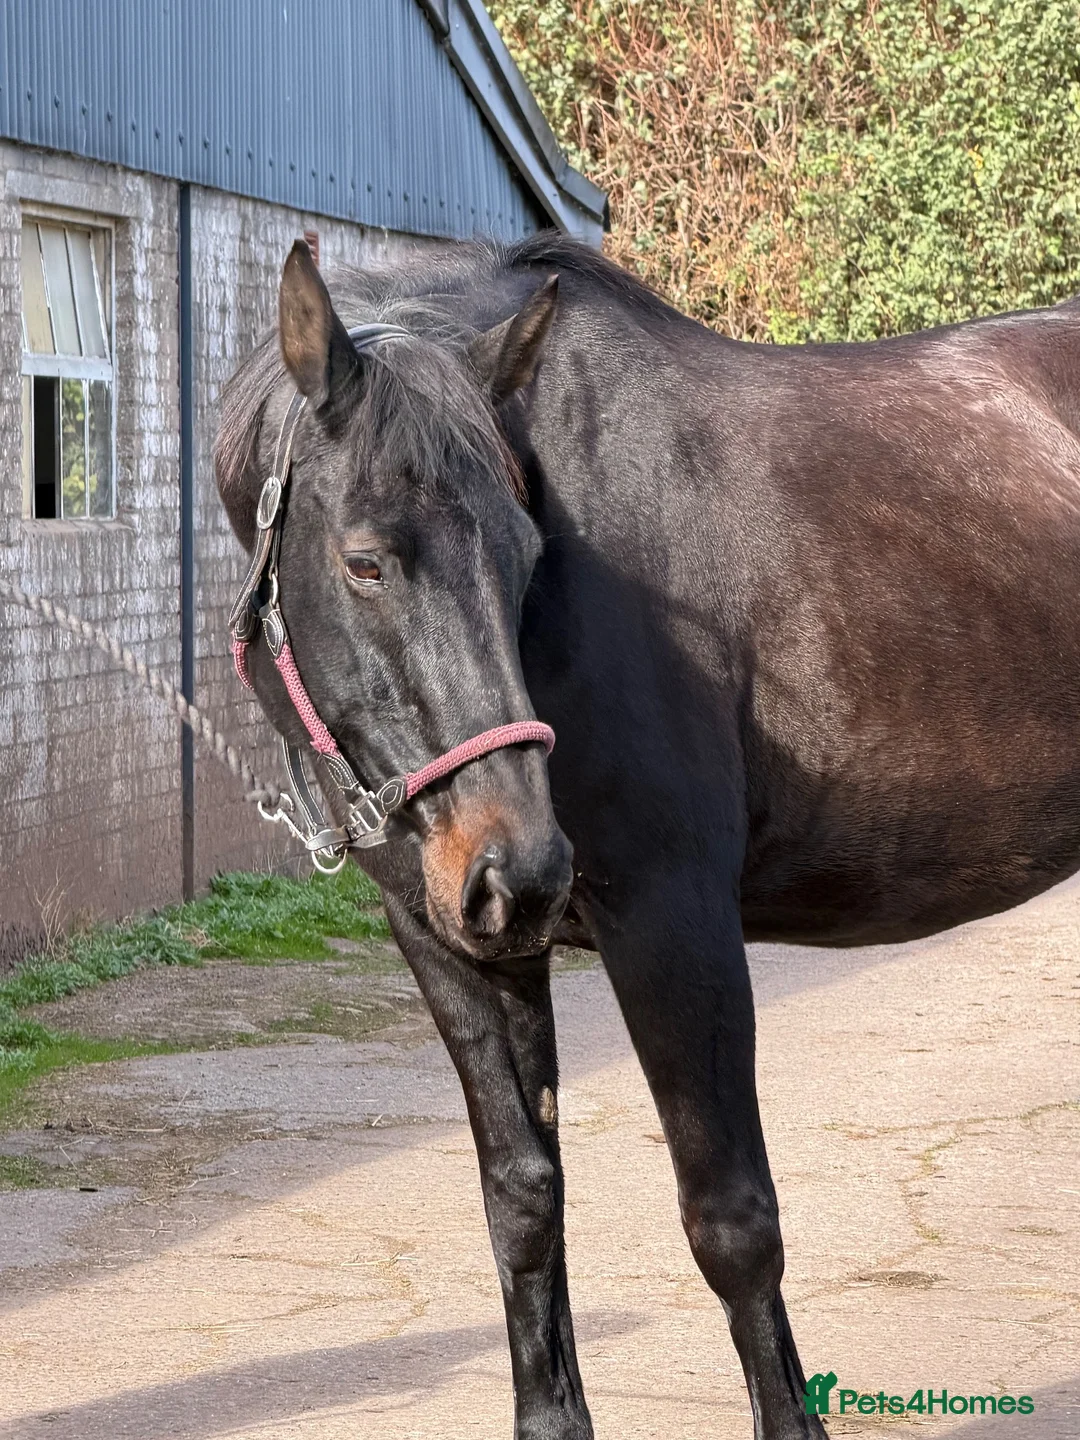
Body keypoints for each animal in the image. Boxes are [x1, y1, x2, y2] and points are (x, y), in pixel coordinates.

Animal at [215, 235, 1080, 1439]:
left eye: (527, 551)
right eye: (365, 561)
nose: (521, 867)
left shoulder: (674, 922)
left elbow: (732, 1222)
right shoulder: (450, 943)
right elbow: (523, 1200)